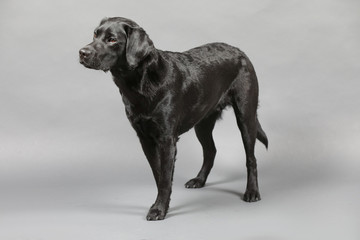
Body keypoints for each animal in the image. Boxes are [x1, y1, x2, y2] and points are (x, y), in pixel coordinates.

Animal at [81, 15, 268, 220]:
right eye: (95, 34)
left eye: (112, 39)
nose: (82, 52)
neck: (140, 83)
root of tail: (240, 51)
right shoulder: (145, 139)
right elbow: (159, 174)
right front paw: (162, 204)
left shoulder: (166, 139)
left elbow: (164, 177)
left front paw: (158, 209)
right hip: (202, 122)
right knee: (210, 151)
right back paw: (199, 180)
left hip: (246, 116)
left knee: (251, 159)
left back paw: (252, 192)